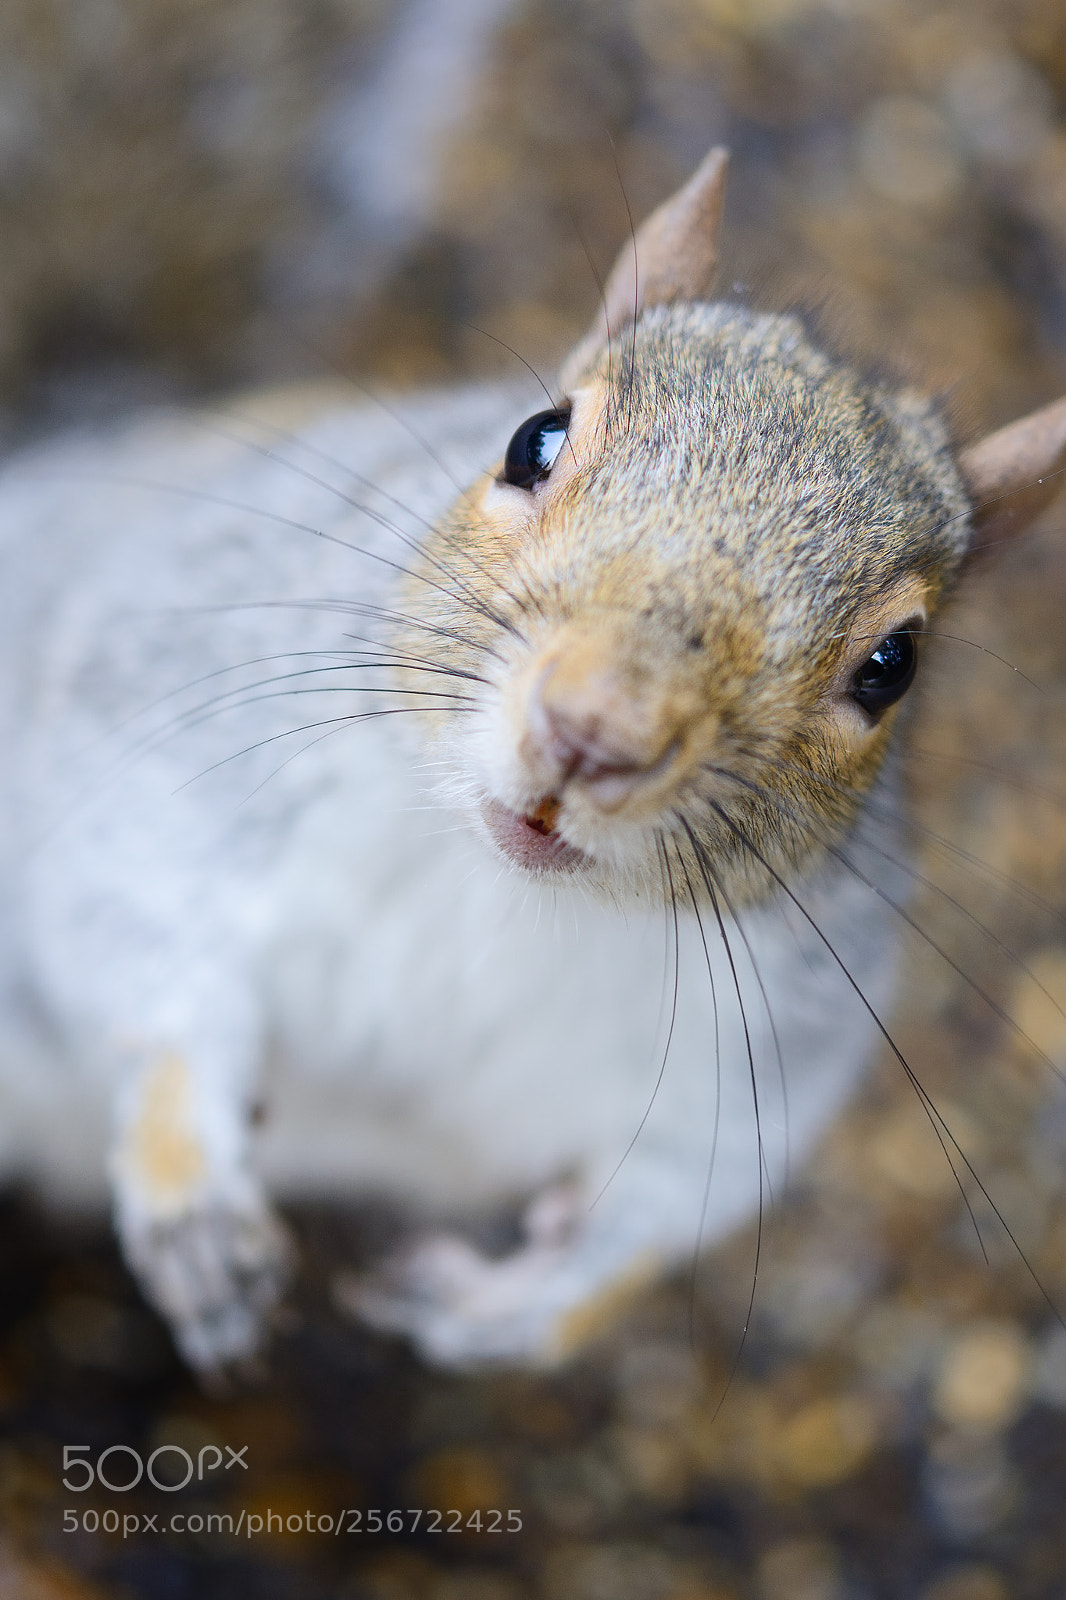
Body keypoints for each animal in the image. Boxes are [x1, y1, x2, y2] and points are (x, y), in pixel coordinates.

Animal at [0, 149, 1063, 1374]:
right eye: (534, 439)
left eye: (894, 665)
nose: (596, 729)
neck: (482, 881)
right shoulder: (157, 733)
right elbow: (136, 942)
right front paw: (193, 1196)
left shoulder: (768, 1040)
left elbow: (671, 1199)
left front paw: (519, 1302)